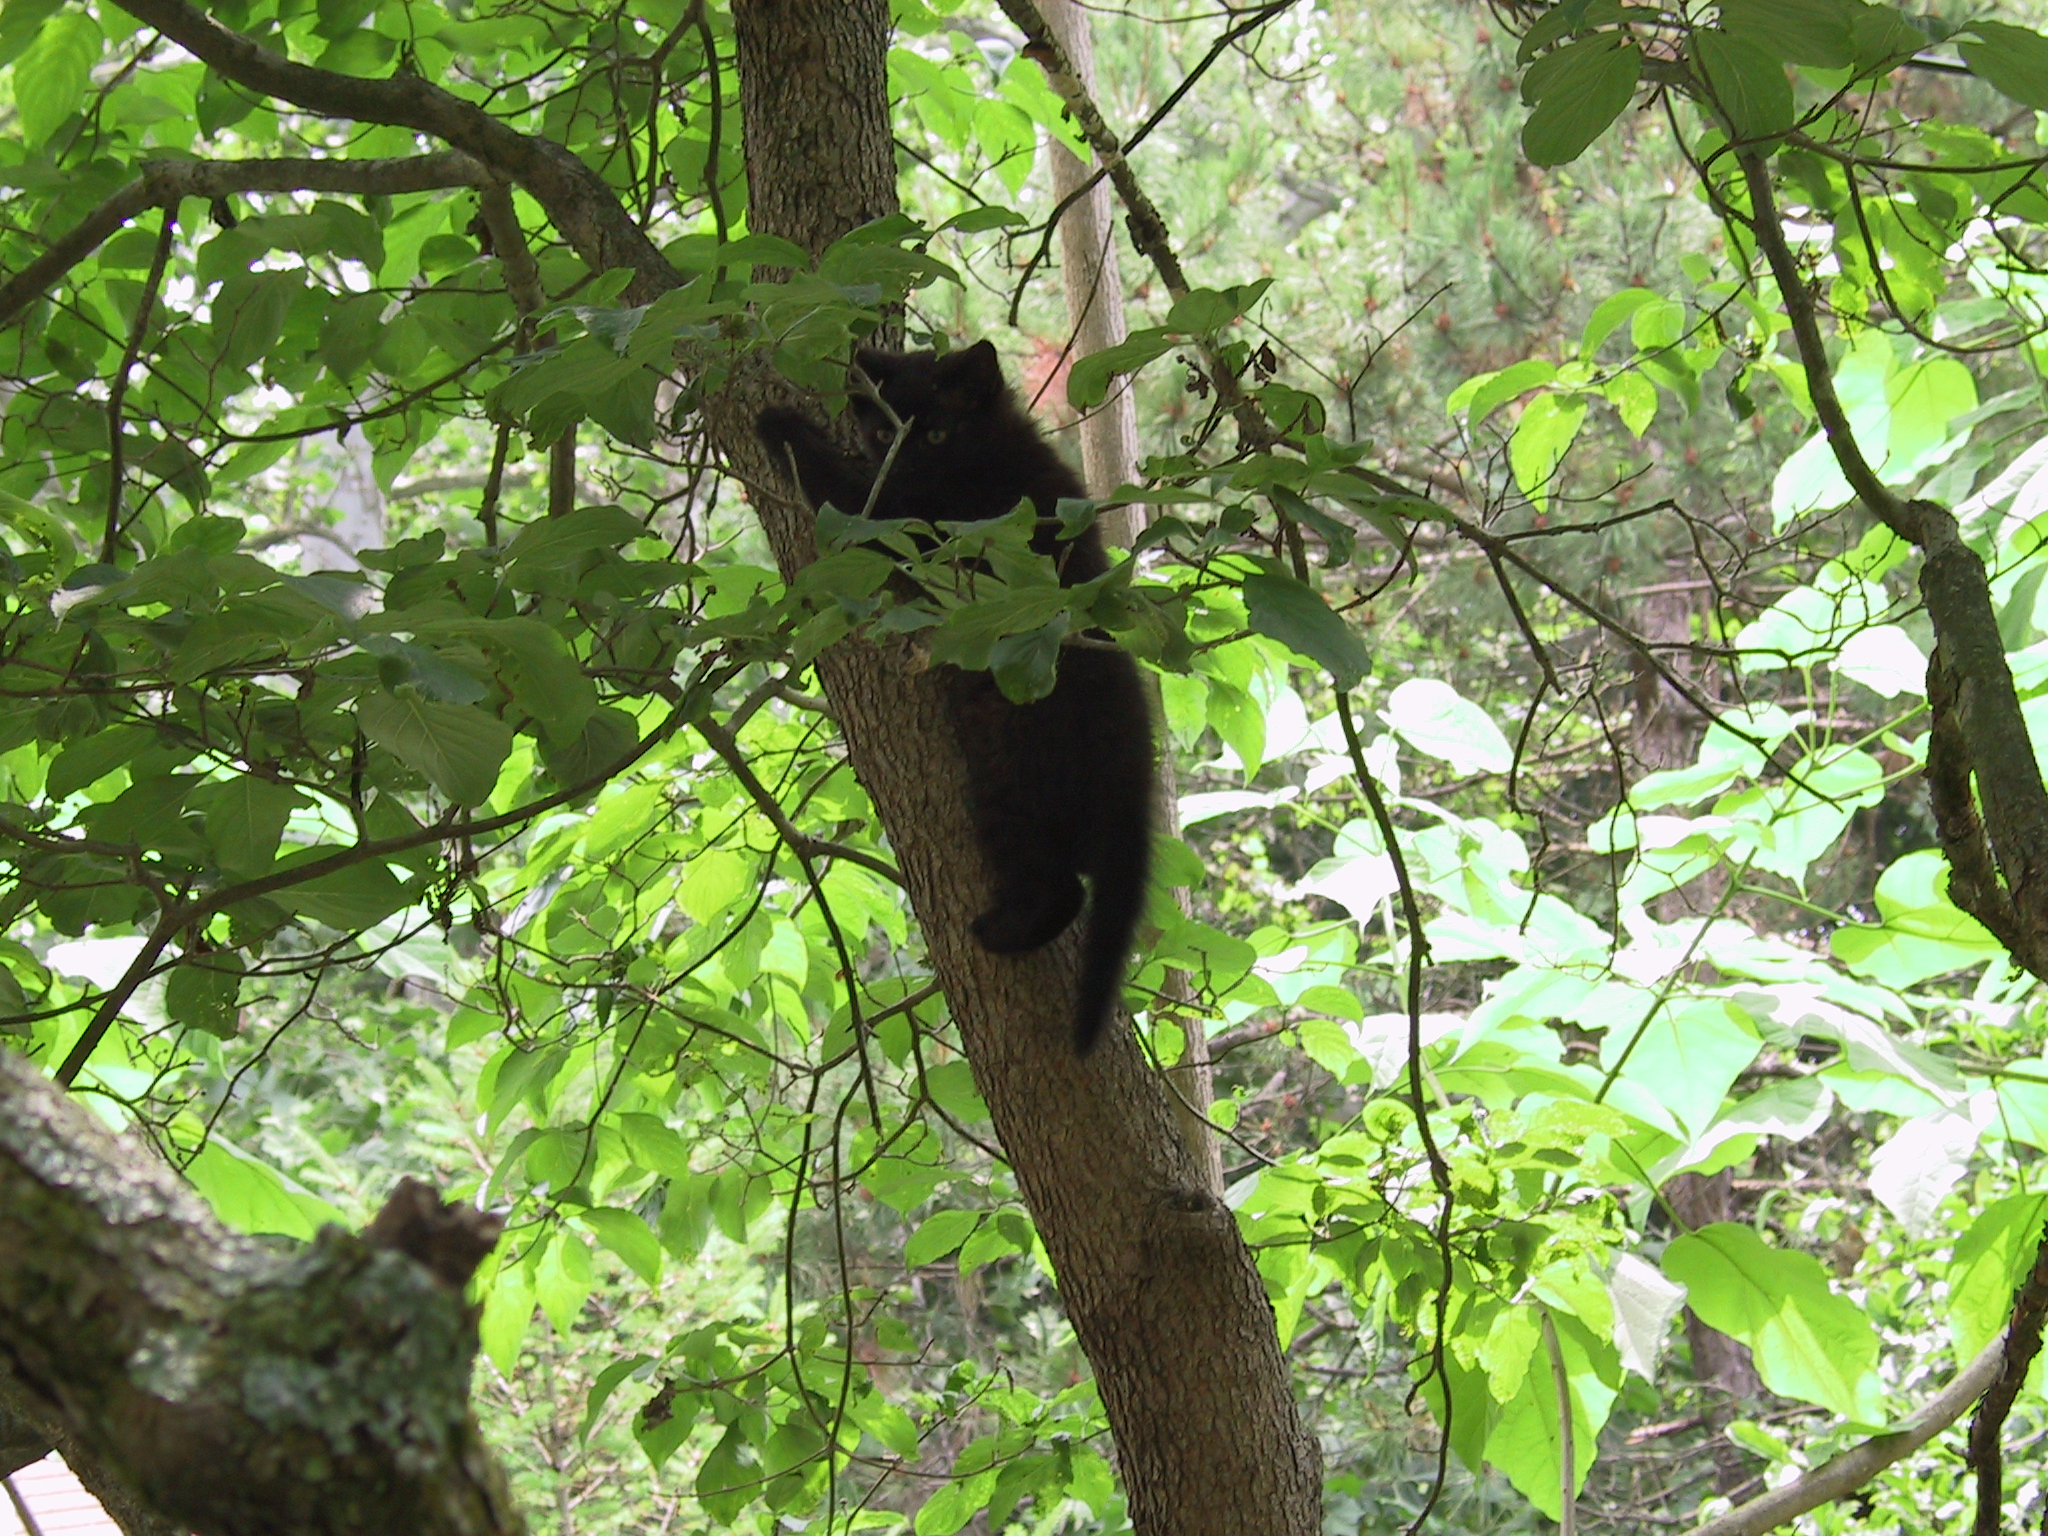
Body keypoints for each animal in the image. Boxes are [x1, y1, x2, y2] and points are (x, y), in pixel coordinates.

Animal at [756, 340, 1155, 1054]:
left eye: (938, 431)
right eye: (884, 432)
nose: (906, 455)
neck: (989, 448)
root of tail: (1133, 779)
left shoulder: (917, 522)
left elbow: (849, 503)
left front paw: (778, 423)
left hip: (1006, 789)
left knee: (1061, 889)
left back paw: (998, 932)